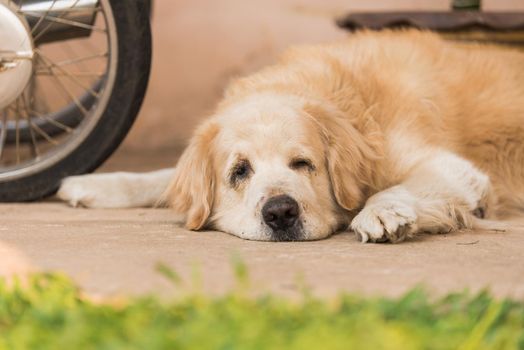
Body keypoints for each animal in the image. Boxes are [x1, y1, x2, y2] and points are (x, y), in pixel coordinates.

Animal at [57, 30, 524, 242]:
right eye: (240, 171)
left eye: (303, 163)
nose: (280, 212)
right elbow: (163, 177)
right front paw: (94, 184)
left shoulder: (451, 167)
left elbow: (396, 188)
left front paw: (381, 213)